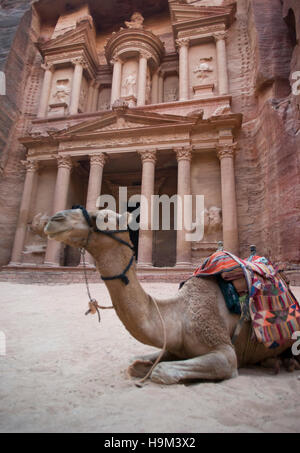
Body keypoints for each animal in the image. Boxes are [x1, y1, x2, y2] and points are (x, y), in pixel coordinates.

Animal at [43, 209, 296, 384]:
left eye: (103, 217)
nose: (55, 218)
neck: (180, 316)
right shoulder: (173, 347)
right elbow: (135, 364)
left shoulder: (224, 351)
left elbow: (160, 371)